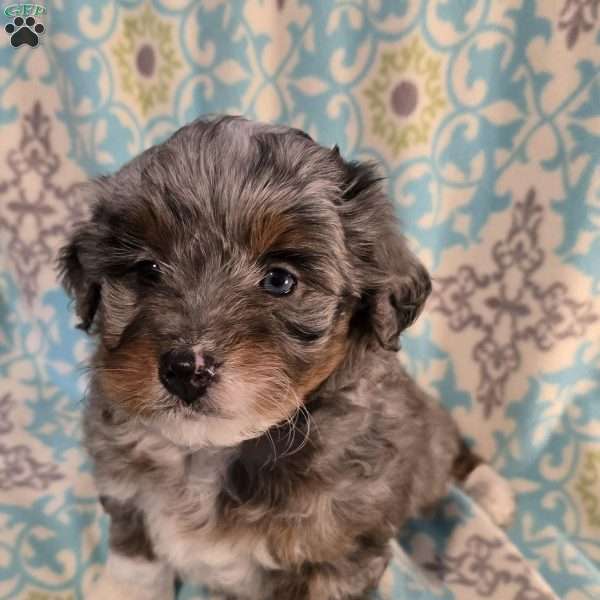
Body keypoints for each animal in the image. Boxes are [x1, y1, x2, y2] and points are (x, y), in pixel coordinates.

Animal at [58, 115, 512, 596]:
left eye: (280, 280)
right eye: (147, 270)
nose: (186, 369)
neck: (211, 452)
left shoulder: (337, 552)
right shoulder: (128, 495)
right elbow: (136, 563)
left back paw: (492, 491)